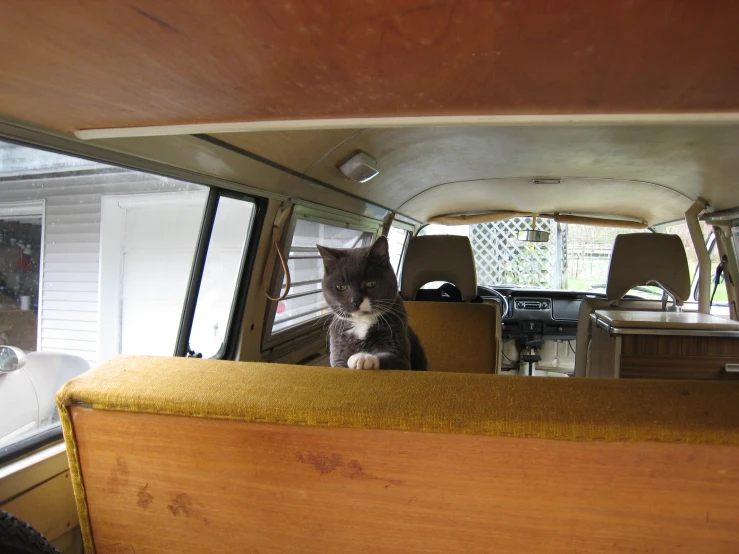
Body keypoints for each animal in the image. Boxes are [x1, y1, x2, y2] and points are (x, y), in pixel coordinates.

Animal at [316, 235, 428, 368]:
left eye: (371, 283)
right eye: (340, 287)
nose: (356, 301)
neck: (362, 322)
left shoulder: (397, 337)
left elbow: (392, 358)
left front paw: (363, 358)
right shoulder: (338, 342)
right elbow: (339, 363)